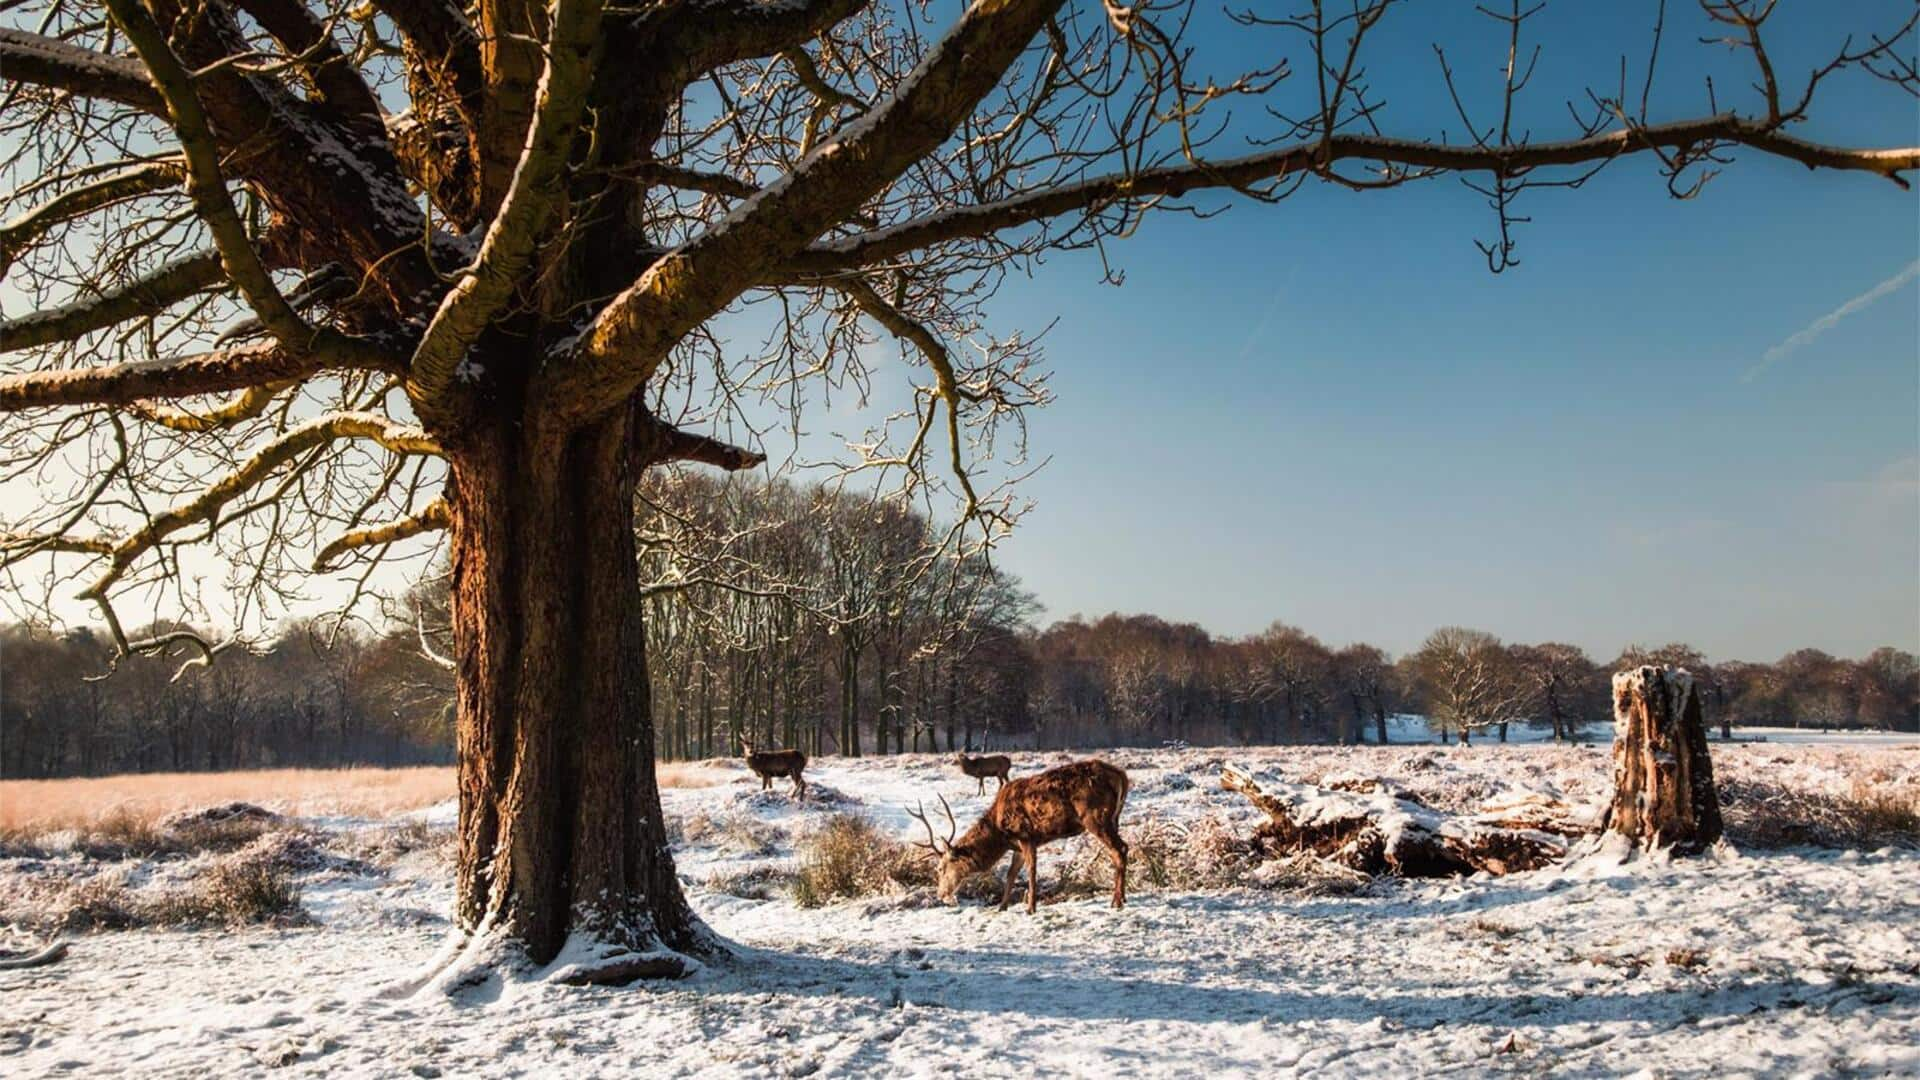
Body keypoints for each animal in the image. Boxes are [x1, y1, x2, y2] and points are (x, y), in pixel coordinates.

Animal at [910, 753, 1128, 910]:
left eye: (941, 868)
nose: (941, 895)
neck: (1000, 834)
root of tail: (1121, 775)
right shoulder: (1017, 845)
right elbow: (1011, 873)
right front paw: (1002, 906)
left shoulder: (1026, 835)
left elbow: (1031, 871)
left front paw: (1030, 908)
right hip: (1114, 818)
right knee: (1121, 849)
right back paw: (1122, 897)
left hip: (1096, 817)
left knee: (1120, 849)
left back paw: (1117, 901)